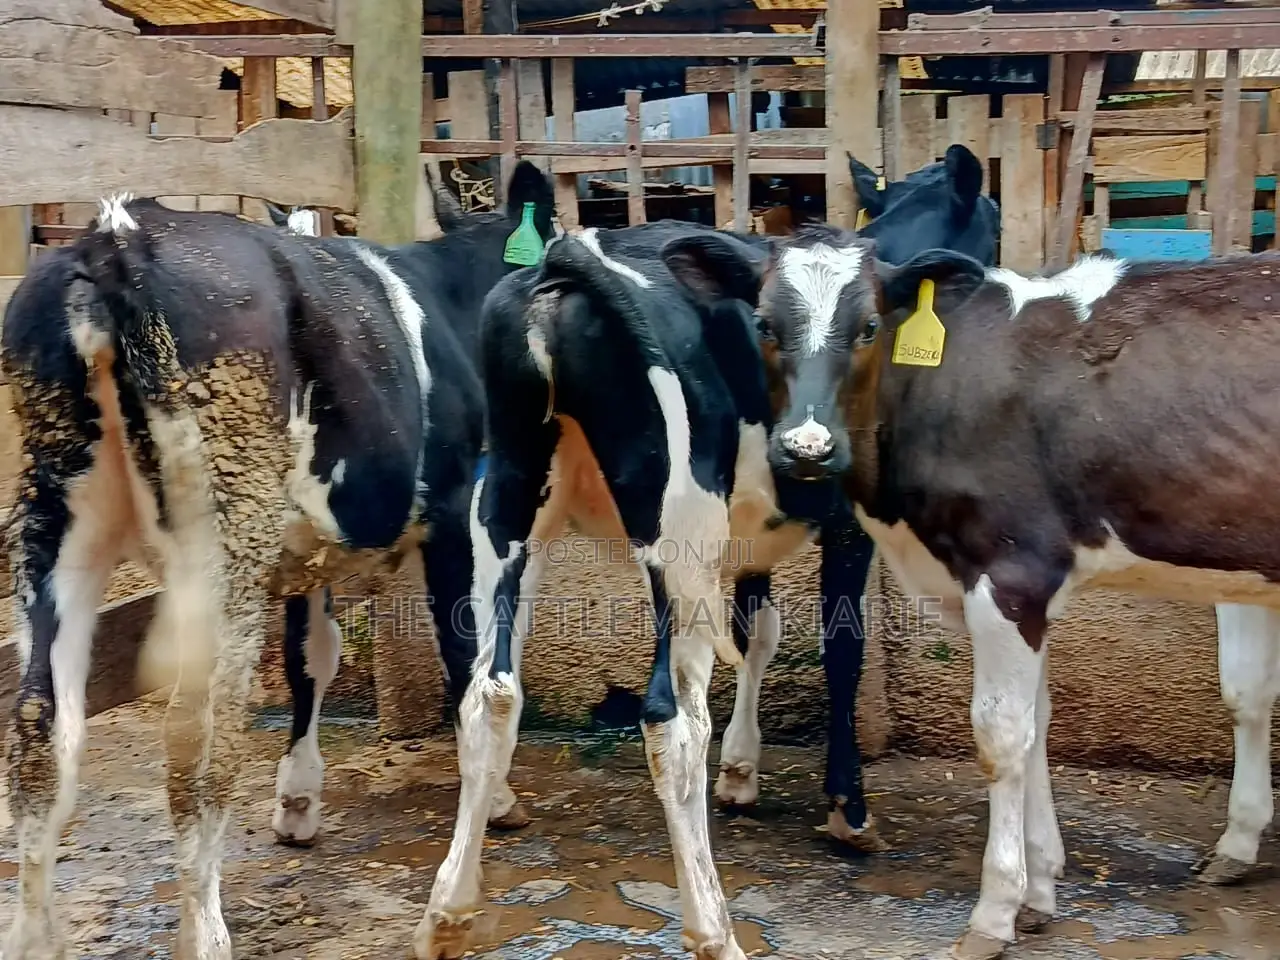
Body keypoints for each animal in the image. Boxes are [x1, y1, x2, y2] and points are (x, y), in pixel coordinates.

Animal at [0, 191, 501, 960]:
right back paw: (204, 933)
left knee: (39, 727)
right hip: (222, 536)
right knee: (197, 740)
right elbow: (470, 680)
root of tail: (114, 242)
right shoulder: (452, 514)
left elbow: (311, 657)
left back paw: (32, 936)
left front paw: (298, 798)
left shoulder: (303, 551)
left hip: (54, 516)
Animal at [692, 223, 1280, 960]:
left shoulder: (1010, 572)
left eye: (869, 326)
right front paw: (1039, 890)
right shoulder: (1032, 586)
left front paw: (994, 913)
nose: (807, 449)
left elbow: (1001, 737)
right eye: (765, 324)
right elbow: (1037, 725)